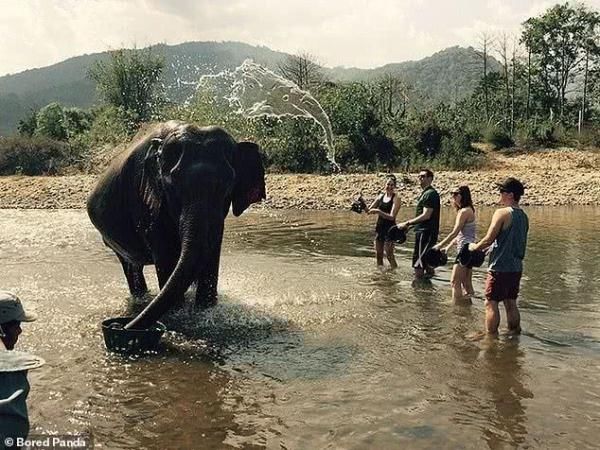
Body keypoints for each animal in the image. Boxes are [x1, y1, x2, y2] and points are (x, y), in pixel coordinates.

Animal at [88, 121, 266, 328]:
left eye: (228, 185)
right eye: (172, 187)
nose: (122, 327)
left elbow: (211, 252)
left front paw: (205, 311)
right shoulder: (146, 200)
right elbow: (165, 254)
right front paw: (178, 313)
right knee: (131, 267)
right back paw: (141, 299)